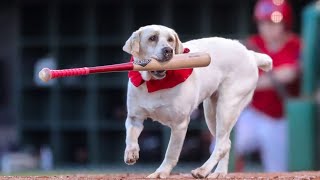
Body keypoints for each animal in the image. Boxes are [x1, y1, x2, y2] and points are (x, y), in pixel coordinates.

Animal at [121, 25, 272, 179]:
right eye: (152, 38)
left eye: (170, 39)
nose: (168, 50)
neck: (154, 84)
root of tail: (250, 54)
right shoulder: (134, 118)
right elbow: (130, 137)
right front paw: (131, 153)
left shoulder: (179, 124)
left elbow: (171, 152)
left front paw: (161, 172)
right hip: (211, 113)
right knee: (226, 142)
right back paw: (219, 173)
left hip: (227, 107)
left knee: (222, 144)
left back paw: (203, 170)